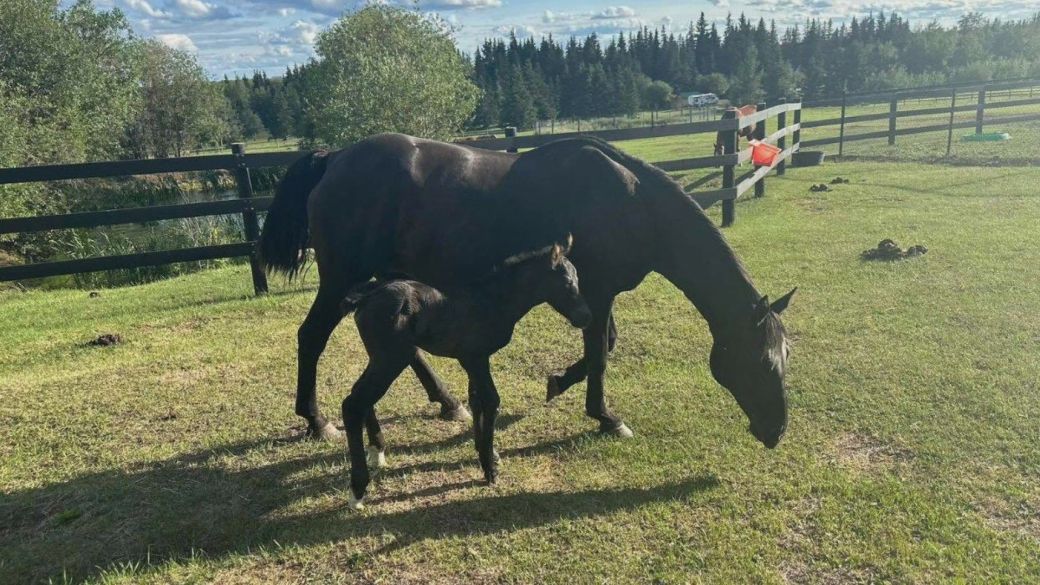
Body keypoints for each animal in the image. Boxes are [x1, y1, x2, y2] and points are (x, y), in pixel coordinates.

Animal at [336, 239, 590, 507]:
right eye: (567, 283)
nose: (586, 317)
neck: (492, 300)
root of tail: (365, 297)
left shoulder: (471, 360)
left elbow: (476, 399)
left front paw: (484, 454)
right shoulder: (476, 357)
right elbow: (490, 400)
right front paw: (489, 469)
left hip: (378, 357)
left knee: (362, 399)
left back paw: (377, 452)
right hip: (391, 359)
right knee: (353, 403)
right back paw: (358, 490)